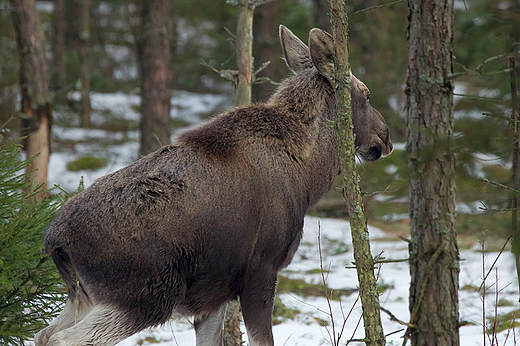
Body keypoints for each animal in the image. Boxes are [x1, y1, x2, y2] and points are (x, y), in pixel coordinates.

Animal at [34, 26, 392, 346]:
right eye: (367, 94)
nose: (386, 137)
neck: (308, 178)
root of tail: (55, 240)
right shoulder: (261, 270)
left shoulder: (215, 291)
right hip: (147, 295)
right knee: (63, 339)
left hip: (86, 296)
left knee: (43, 334)